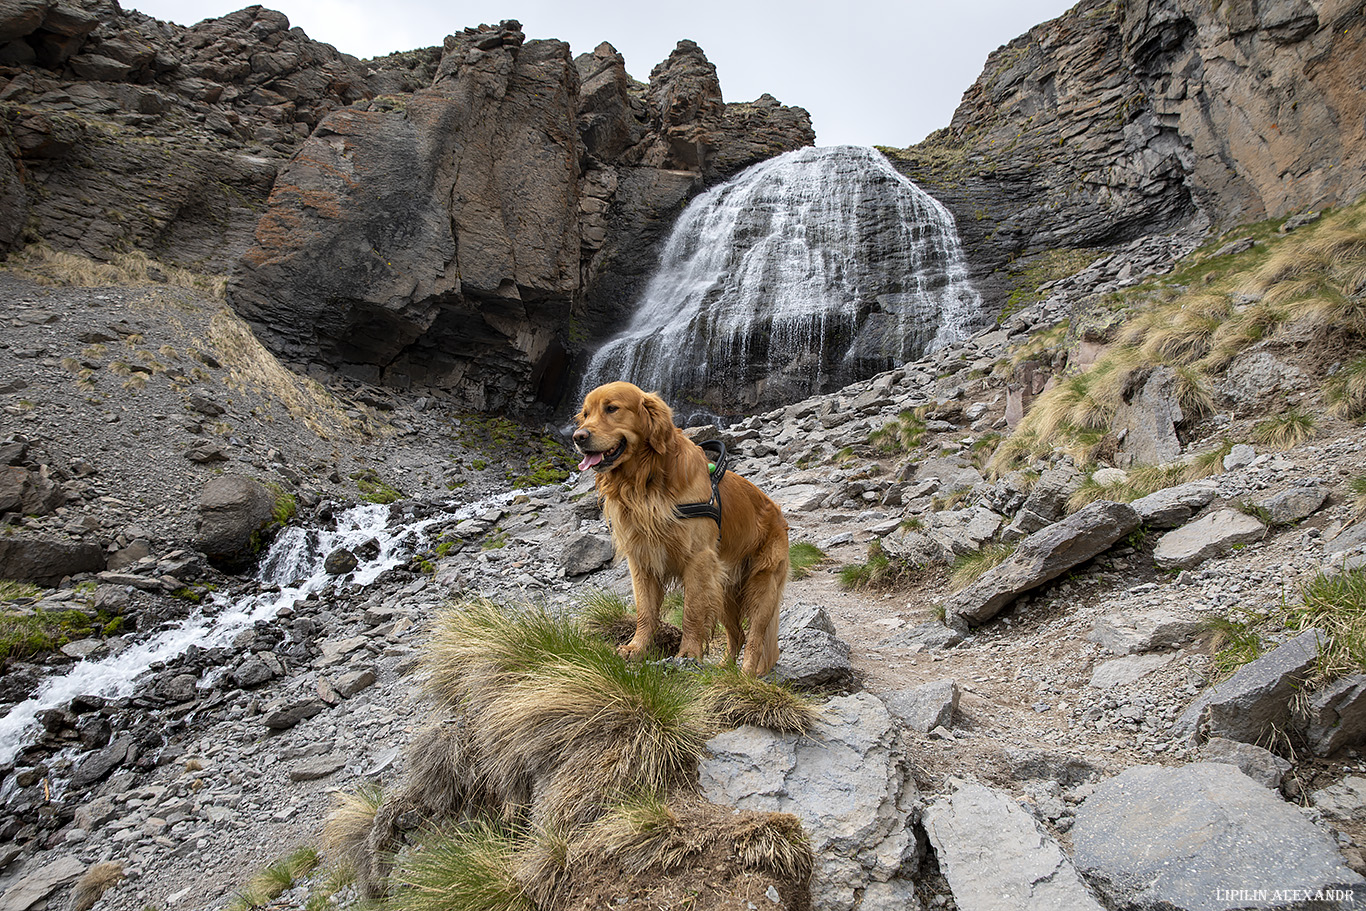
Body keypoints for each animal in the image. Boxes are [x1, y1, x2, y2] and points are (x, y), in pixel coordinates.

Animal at [573, 382, 792, 674]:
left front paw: (688, 654)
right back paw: (725, 670)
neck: (646, 481)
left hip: (762, 585)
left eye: (612, 408)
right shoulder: (642, 559)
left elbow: (692, 612)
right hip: (724, 589)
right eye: (585, 414)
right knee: (738, 634)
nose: (578, 437)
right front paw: (636, 648)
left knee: (755, 637)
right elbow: (645, 611)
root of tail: (779, 515)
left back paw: (745, 675)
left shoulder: (698, 560)